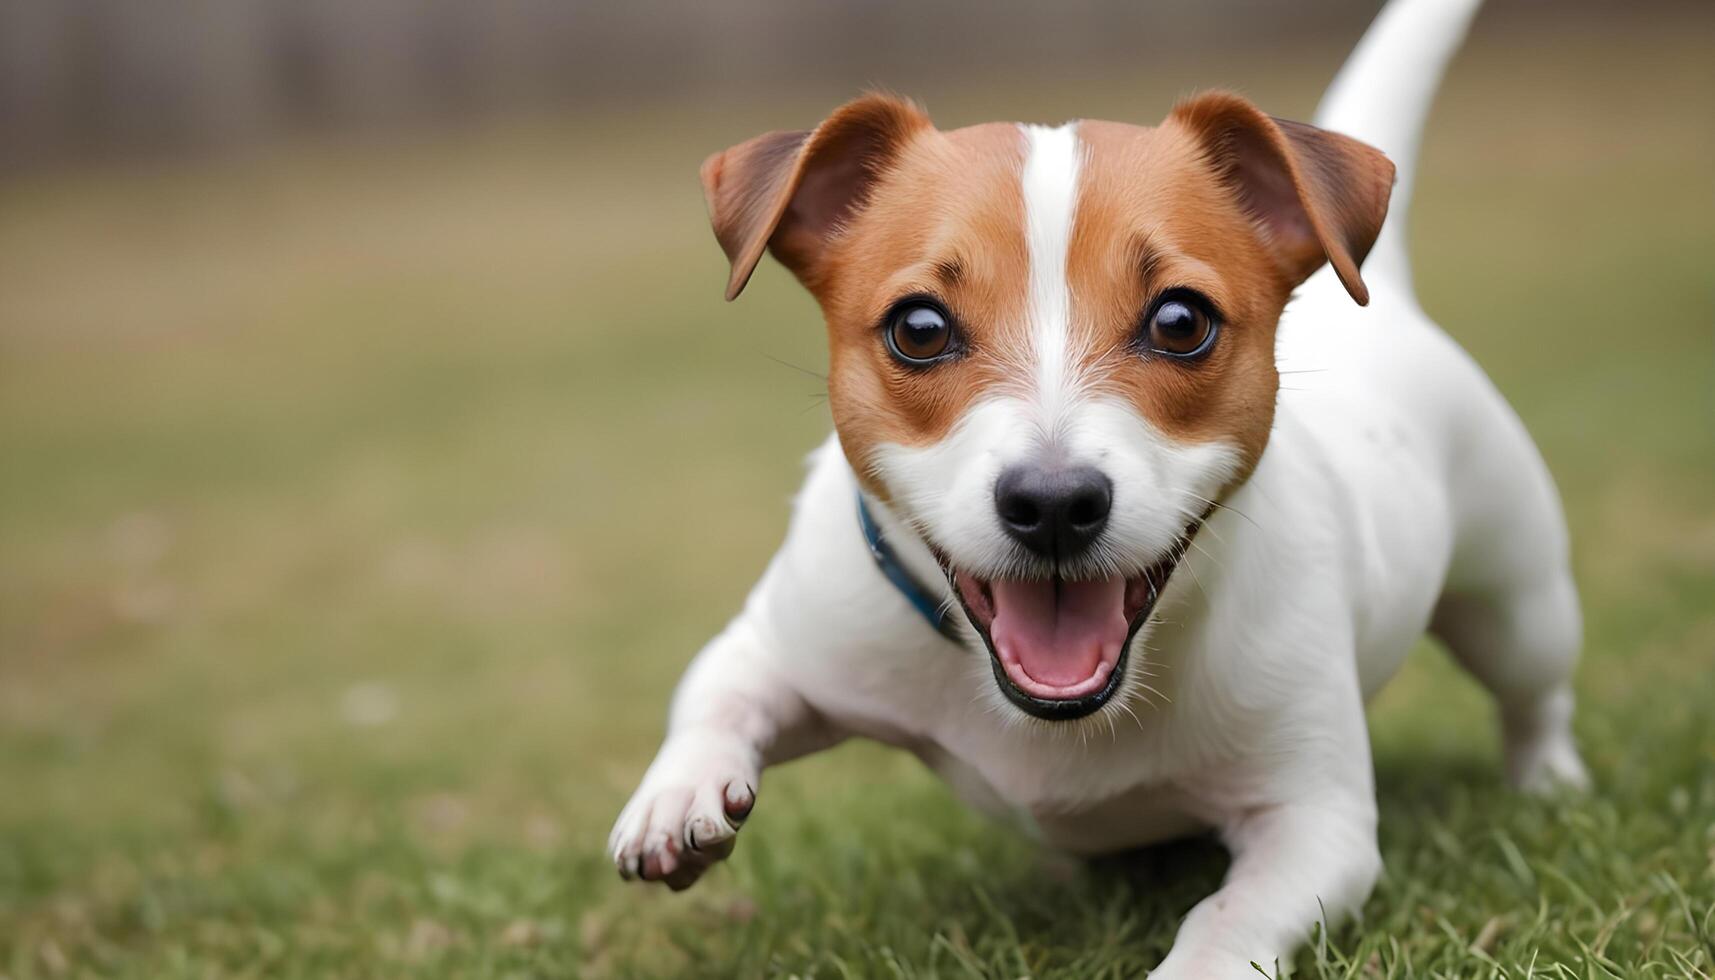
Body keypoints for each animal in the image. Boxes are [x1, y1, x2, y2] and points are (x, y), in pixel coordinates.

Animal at [610, 0, 1584, 967]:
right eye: (918, 328)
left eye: (1181, 321)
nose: (1051, 505)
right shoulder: (792, 640)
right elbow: (719, 693)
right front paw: (678, 792)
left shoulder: (1314, 824)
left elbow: (1225, 919)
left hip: (1517, 605)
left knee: (1532, 691)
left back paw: (1548, 780)